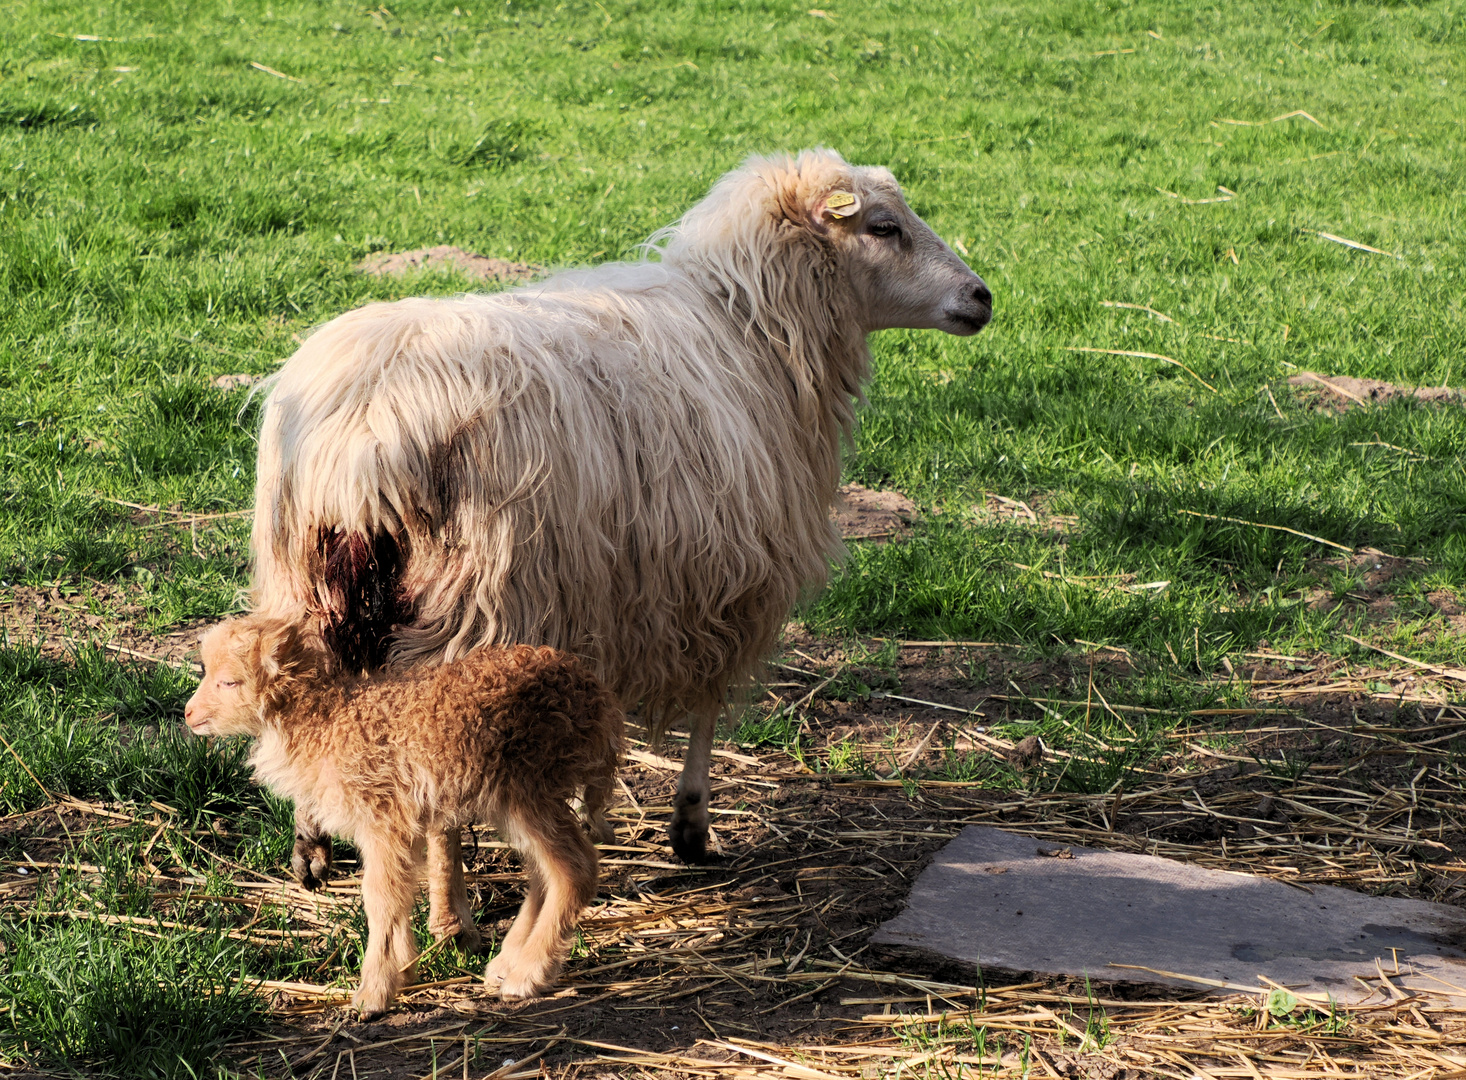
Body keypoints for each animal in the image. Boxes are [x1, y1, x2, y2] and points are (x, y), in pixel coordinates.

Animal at [181, 609, 618, 1014]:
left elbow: (380, 899)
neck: (325, 721)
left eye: (229, 681)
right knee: (544, 872)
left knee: (574, 870)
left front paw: (372, 994)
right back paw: (504, 965)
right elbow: (397, 894)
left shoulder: (383, 819)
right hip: (517, 798)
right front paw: (404, 971)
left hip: (531, 786)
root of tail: (591, 694)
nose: (187, 714)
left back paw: (527, 975)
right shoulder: (397, 827)